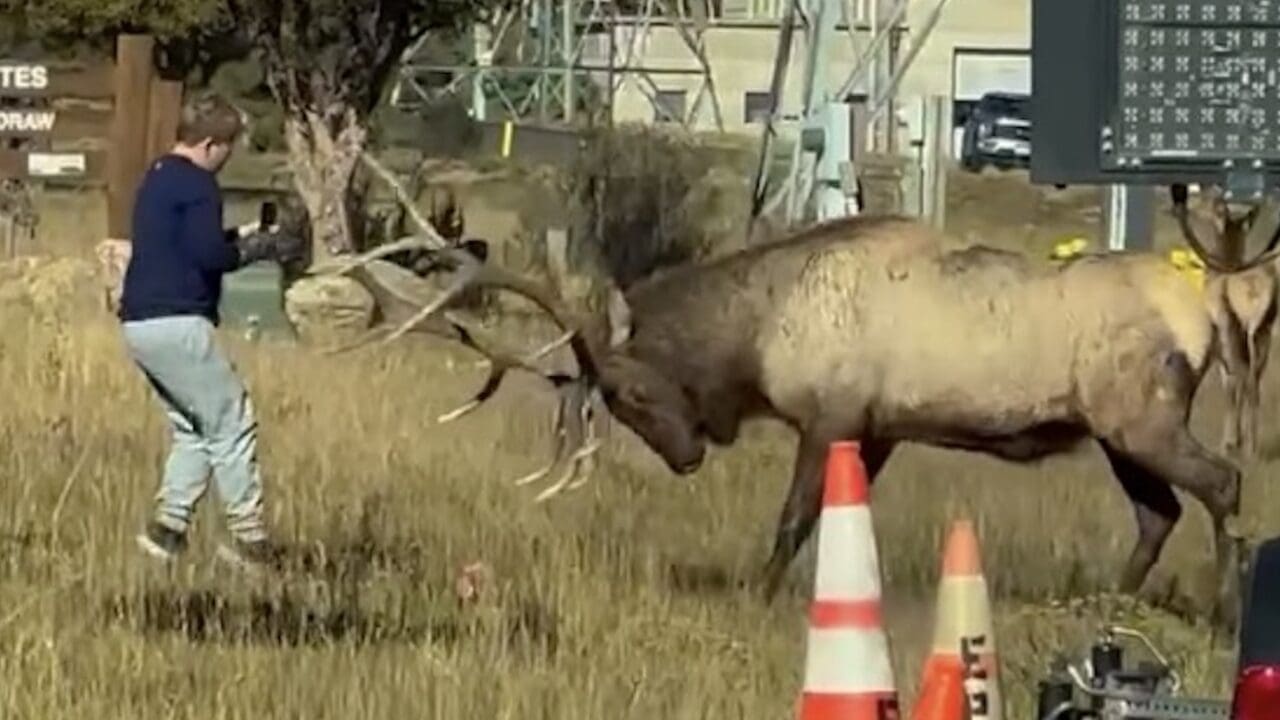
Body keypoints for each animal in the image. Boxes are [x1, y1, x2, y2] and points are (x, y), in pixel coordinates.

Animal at [312, 154, 1280, 629]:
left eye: (628, 392)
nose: (688, 456)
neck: (758, 333)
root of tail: (1209, 307)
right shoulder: (878, 428)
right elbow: (831, 520)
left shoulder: (830, 415)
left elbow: (790, 518)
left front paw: (761, 593)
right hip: (1116, 433)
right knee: (1158, 512)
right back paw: (1105, 604)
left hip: (1139, 415)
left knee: (1223, 481)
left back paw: (1226, 609)